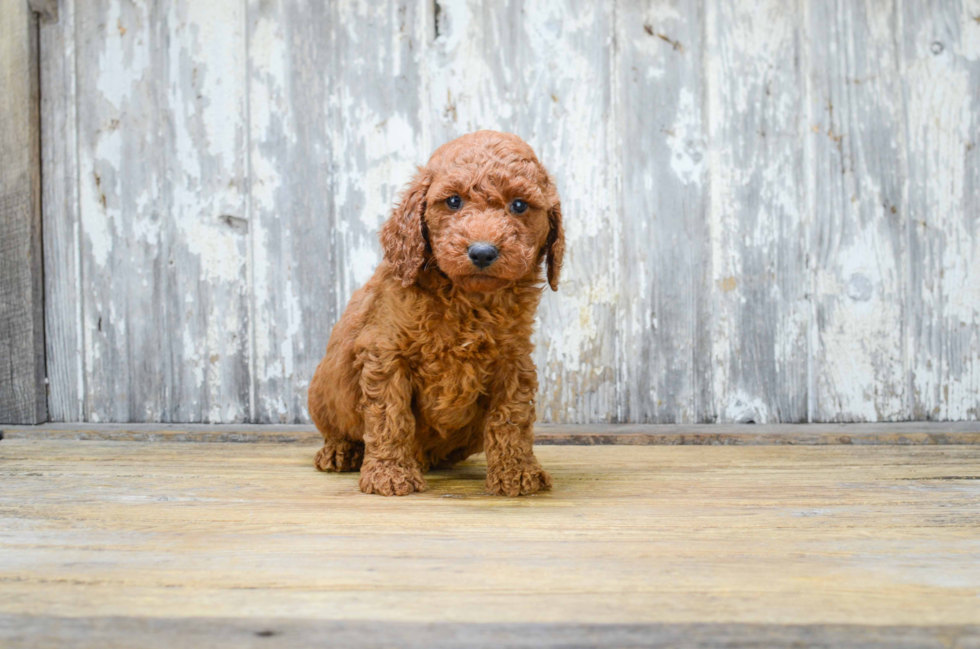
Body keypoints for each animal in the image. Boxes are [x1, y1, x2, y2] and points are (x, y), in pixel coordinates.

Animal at [310, 130, 564, 496]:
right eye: (454, 201)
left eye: (519, 205)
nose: (482, 252)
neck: (468, 300)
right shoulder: (385, 354)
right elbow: (391, 416)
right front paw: (390, 474)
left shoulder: (514, 360)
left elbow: (510, 418)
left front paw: (516, 472)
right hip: (323, 390)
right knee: (338, 428)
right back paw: (342, 451)